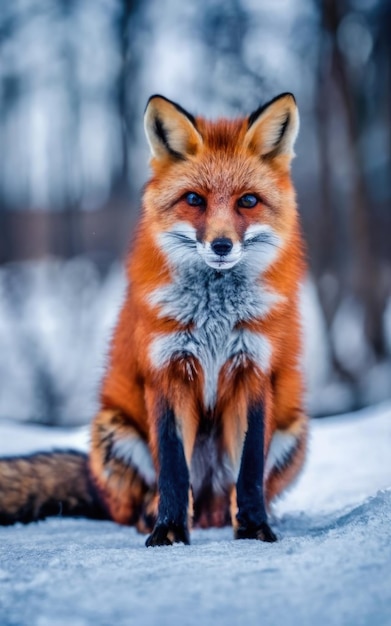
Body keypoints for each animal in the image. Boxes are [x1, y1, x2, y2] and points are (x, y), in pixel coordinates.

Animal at [0, 92, 310, 540]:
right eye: (194, 199)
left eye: (248, 201)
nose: (221, 245)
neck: (215, 317)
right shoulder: (167, 371)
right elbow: (174, 469)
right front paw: (169, 532)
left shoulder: (252, 371)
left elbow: (249, 470)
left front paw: (254, 527)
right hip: (113, 430)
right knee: (137, 505)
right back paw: (155, 517)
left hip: (293, 429)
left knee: (235, 494)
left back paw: (241, 518)